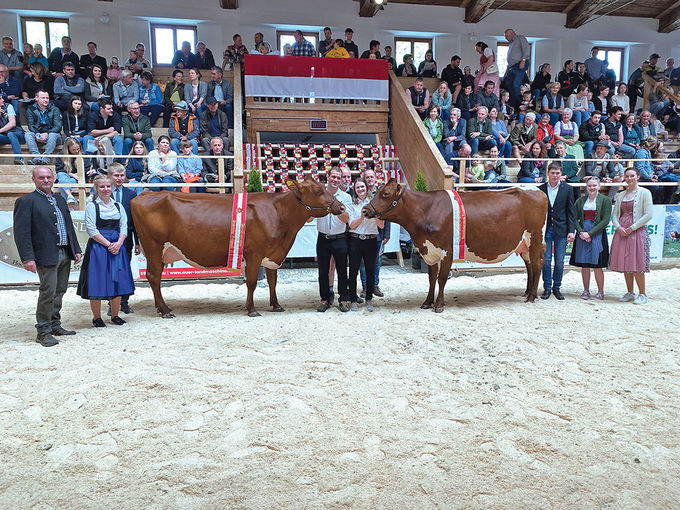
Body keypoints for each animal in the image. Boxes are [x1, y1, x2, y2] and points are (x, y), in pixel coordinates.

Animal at [132, 177, 346, 316]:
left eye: (325, 187)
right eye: (318, 191)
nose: (342, 207)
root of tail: (144, 193)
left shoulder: (272, 255)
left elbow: (272, 282)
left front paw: (276, 306)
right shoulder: (253, 254)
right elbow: (251, 283)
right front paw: (251, 310)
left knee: (155, 277)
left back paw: (163, 308)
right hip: (153, 247)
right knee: (153, 277)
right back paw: (165, 310)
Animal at [364, 181, 548, 312]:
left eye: (385, 194)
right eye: (376, 191)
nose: (365, 210)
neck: (426, 211)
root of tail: (536, 190)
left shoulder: (448, 251)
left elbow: (442, 278)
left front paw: (439, 305)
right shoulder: (430, 251)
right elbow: (431, 278)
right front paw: (427, 302)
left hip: (535, 238)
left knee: (538, 264)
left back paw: (531, 297)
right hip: (523, 244)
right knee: (530, 265)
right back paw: (526, 292)